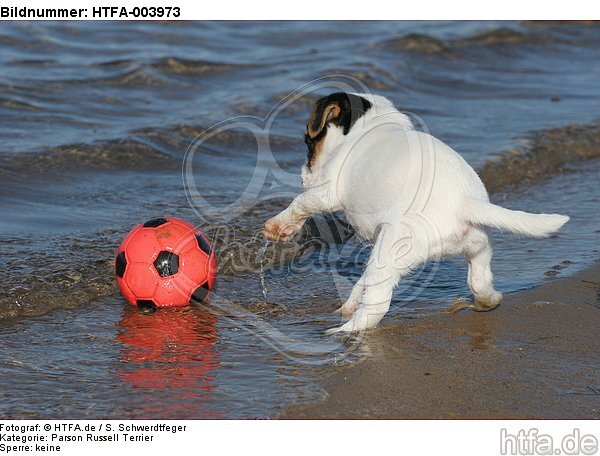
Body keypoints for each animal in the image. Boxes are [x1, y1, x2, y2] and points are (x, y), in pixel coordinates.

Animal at [262, 92, 568, 334]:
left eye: (308, 143)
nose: (304, 176)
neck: (374, 127)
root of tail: (462, 203)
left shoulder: (328, 192)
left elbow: (303, 202)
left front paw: (278, 226)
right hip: (478, 247)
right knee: (479, 282)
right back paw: (487, 301)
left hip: (389, 253)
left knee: (375, 307)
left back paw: (342, 331)